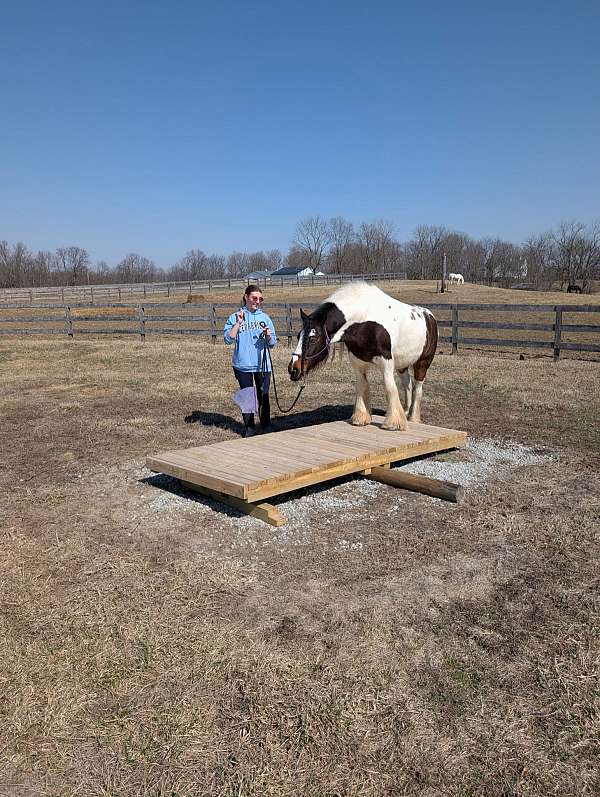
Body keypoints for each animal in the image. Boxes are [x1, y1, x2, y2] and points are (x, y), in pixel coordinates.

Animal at [288, 282, 438, 431]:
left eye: (313, 339)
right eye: (298, 336)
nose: (293, 369)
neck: (363, 319)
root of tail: (429, 316)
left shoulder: (386, 362)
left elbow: (389, 387)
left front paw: (393, 423)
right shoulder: (358, 362)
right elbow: (361, 386)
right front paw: (361, 418)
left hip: (422, 363)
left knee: (418, 387)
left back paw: (413, 418)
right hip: (402, 364)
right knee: (407, 384)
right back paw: (405, 412)